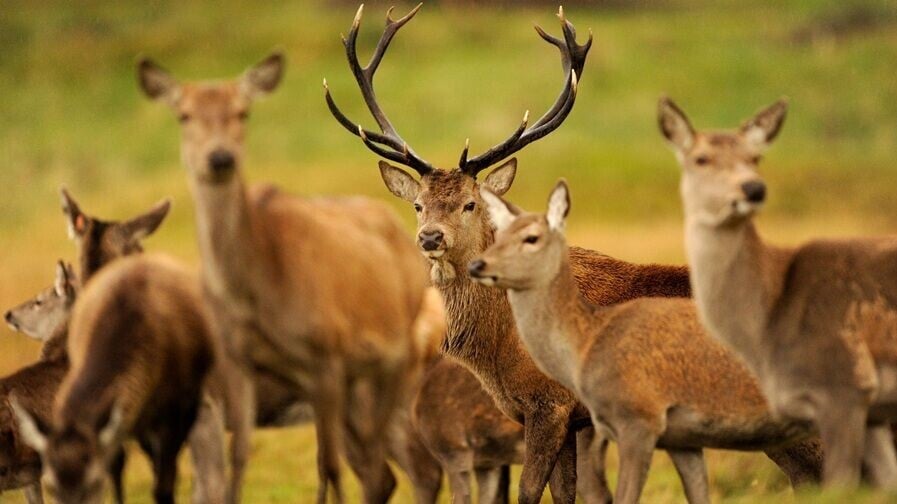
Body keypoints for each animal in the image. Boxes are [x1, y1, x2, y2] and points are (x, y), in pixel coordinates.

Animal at [13, 254, 215, 504]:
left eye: (94, 481)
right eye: (51, 485)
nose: (8, 314)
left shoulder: (176, 413)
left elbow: (164, 483)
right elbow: (118, 469)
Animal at [138, 38, 436, 504]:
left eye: (242, 111)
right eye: (183, 114)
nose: (219, 158)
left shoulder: (325, 356)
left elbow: (326, 465)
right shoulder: (237, 363)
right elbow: (237, 462)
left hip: (393, 368)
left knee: (398, 466)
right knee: (382, 470)